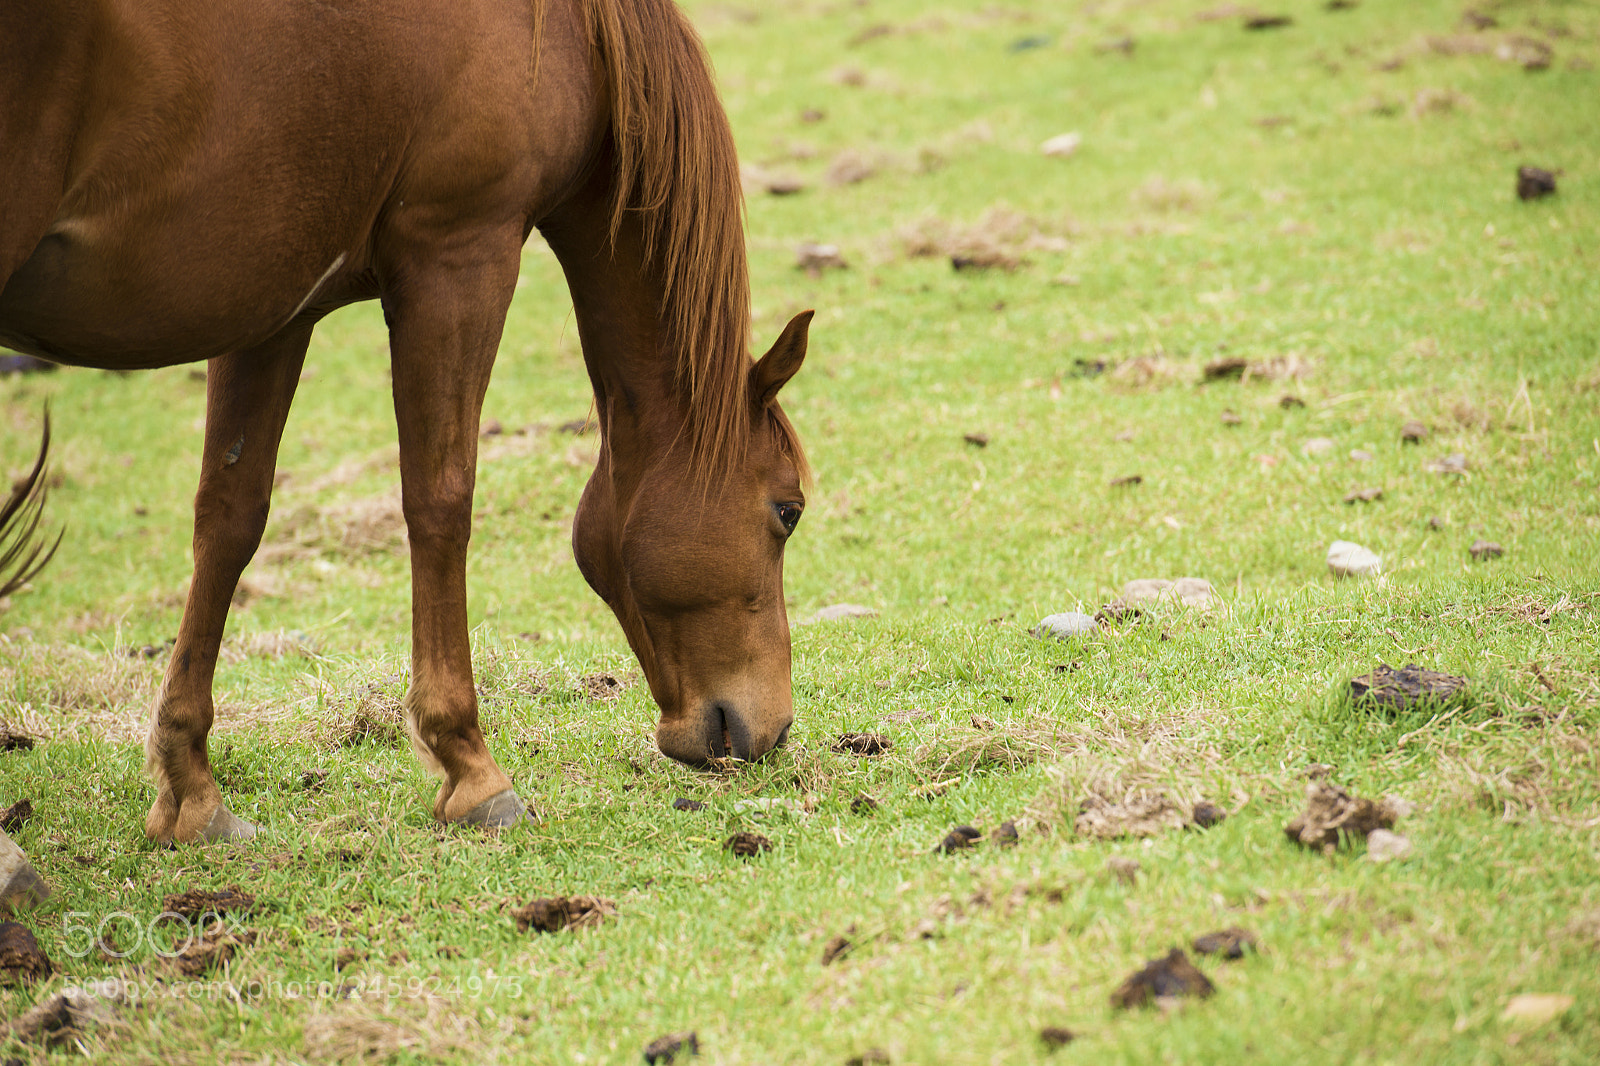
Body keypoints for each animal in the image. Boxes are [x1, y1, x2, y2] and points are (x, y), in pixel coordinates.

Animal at [0, 0, 813, 844]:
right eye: (788, 510)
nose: (777, 728)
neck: (574, 38)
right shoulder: (460, 255)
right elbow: (440, 500)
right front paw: (472, 769)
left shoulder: (270, 308)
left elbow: (228, 521)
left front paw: (190, 788)